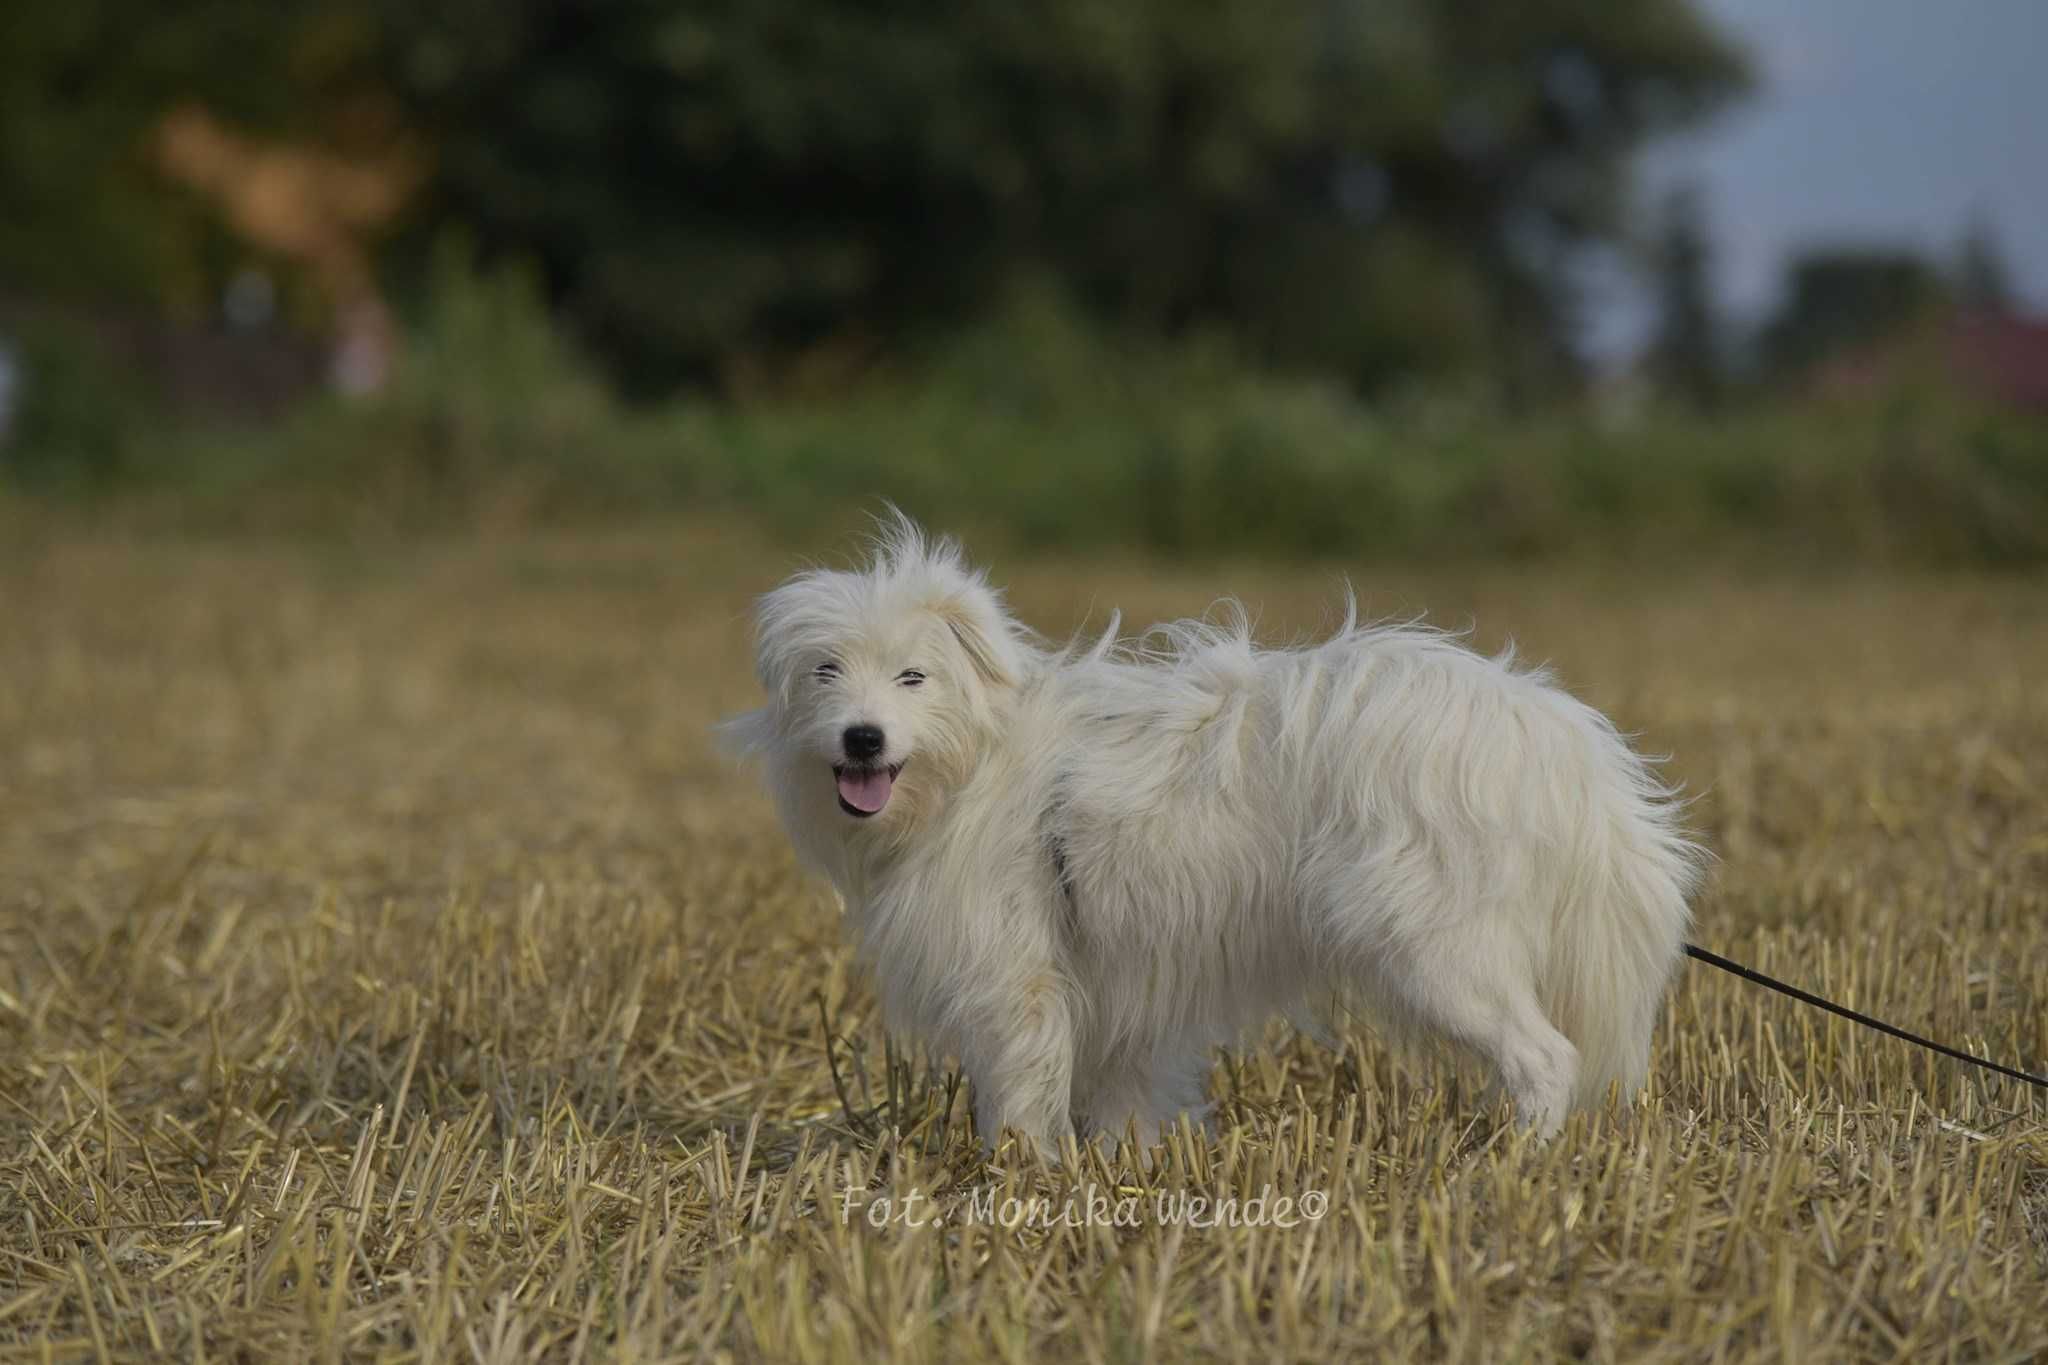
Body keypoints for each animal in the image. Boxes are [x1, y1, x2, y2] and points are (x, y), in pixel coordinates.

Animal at [729, 519, 1703, 1154]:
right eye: (826, 670)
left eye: (913, 676)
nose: (862, 738)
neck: (978, 761)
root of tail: (1550, 736)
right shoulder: (1114, 986)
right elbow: (1119, 1095)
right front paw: (1124, 1167)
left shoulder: (1019, 980)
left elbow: (1023, 1092)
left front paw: (1022, 1175)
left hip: (1439, 950)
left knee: (1547, 1058)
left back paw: (1515, 1167)